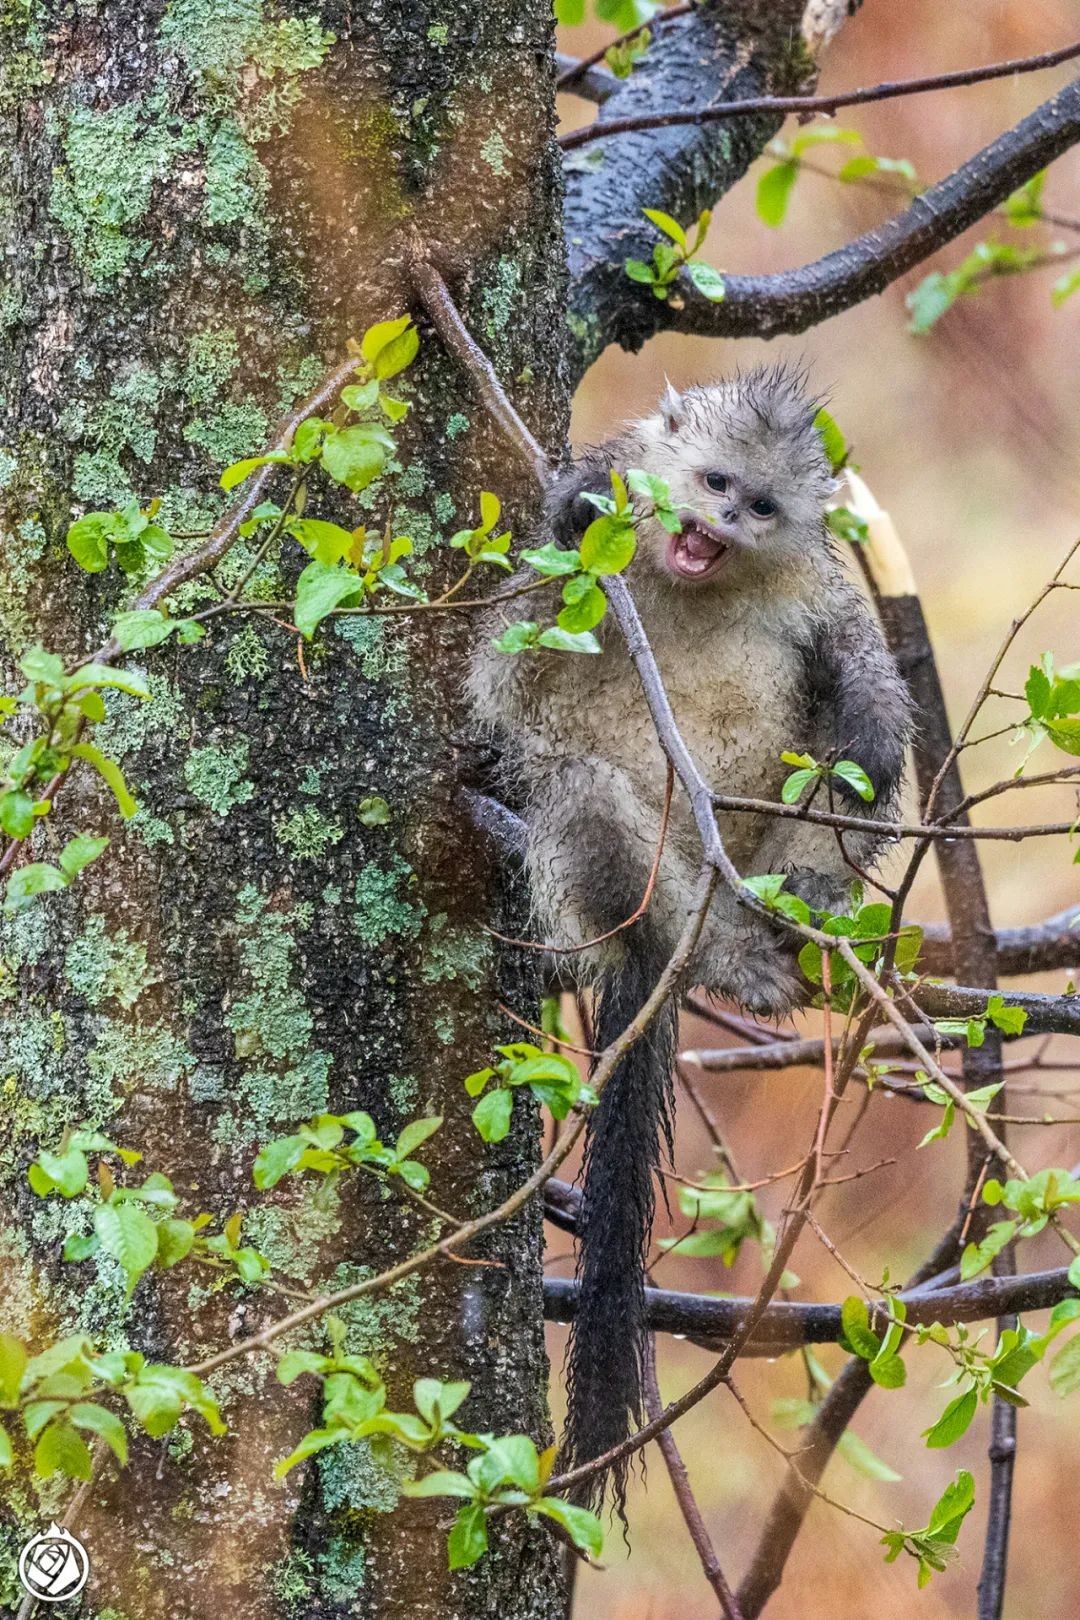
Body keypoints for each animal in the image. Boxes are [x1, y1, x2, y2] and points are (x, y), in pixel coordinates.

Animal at [466, 361, 913, 1509]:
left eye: (758, 503)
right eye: (710, 481)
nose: (717, 521)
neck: (698, 586)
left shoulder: (812, 583)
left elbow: (859, 682)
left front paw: (872, 734)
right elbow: (506, 670)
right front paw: (577, 513)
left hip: (758, 853)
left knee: (826, 793)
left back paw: (788, 930)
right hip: (635, 874)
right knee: (582, 799)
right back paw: (693, 951)